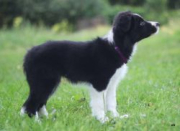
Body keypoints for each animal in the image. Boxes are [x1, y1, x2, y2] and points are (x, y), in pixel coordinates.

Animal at [20, 11, 160, 123]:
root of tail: (28, 53)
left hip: (50, 82)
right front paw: (103, 120)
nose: (158, 24)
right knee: (30, 104)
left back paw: (47, 119)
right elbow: (99, 103)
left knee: (40, 102)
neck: (115, 46)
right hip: (43, 81)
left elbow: (111, 102)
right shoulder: (99, 83)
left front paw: (116, 117)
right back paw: (36, 123)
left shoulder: (112, 83)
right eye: (141, 24)